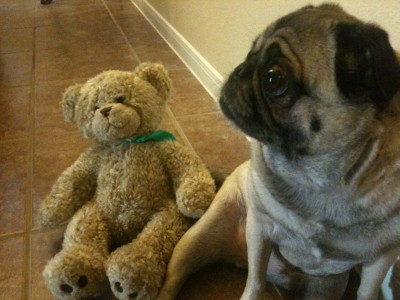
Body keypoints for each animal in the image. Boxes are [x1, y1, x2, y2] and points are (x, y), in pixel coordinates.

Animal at [158, 2, 400, 300]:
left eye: (274, 79)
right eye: (251, 51)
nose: (240, 70)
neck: (319, 182)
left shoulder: (381, 259)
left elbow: (367, 292)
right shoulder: (261, 227)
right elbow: (255, 283)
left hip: (327, 286)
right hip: (197, 237)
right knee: (174, 278)